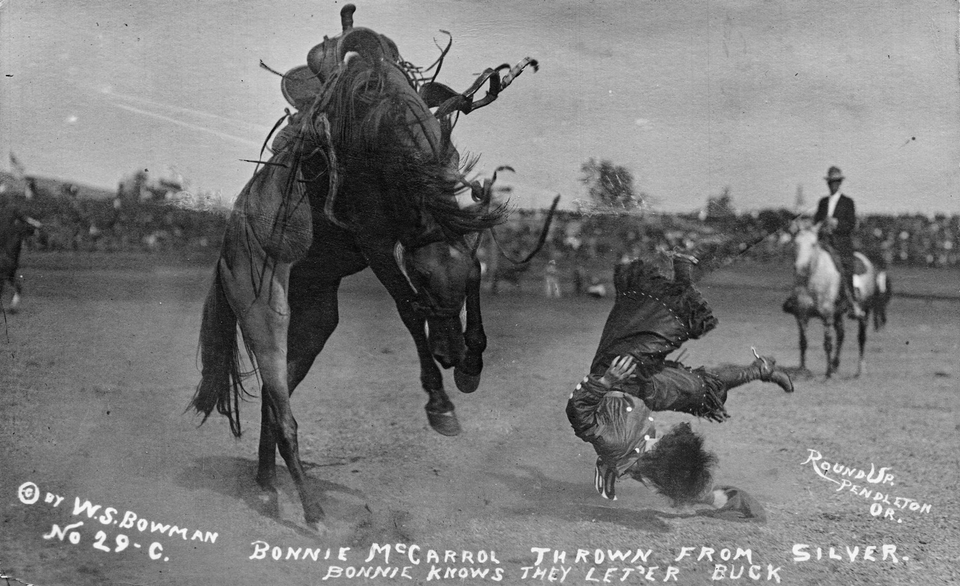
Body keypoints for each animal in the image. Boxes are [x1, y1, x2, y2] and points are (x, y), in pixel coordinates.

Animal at [191, 2, 552, 528]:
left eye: (454, 281)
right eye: (422, 277)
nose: (449, 355)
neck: (384, 120)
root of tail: (224, 255)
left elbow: (476, 271)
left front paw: (472, 364)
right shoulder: (375, 242)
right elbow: (409, 309)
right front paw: (440, 404)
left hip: (316, 318)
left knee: (276, 406)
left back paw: (267, 487)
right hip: (263, 313)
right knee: (282, 409)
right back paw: (312, 511)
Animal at [784, 221, 888, 376]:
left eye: (813, 244)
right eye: (795, 243)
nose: (801, 268)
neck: (812, 280)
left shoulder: (827, 315)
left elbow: (827, 343)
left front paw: (828, 373)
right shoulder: (801, 315)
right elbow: (803, 342)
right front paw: (802, 370)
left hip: (865, 311)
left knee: (861, 338)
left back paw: (860, 369)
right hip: (838, 313)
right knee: (841, 335)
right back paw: (835, 365)